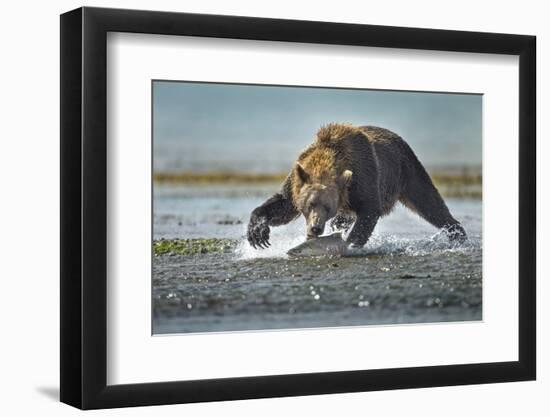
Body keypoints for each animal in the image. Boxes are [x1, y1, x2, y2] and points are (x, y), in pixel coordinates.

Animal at [248, 122, 468, 247]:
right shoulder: (297, 178)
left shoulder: (362, 177)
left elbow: (370, 209)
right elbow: (283, 204)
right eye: (309, 204)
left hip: (407, 170)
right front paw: (257, 233)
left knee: (429, 203)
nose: (316, 228)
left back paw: (458, 234)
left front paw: (350, 243)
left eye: (327, 207)